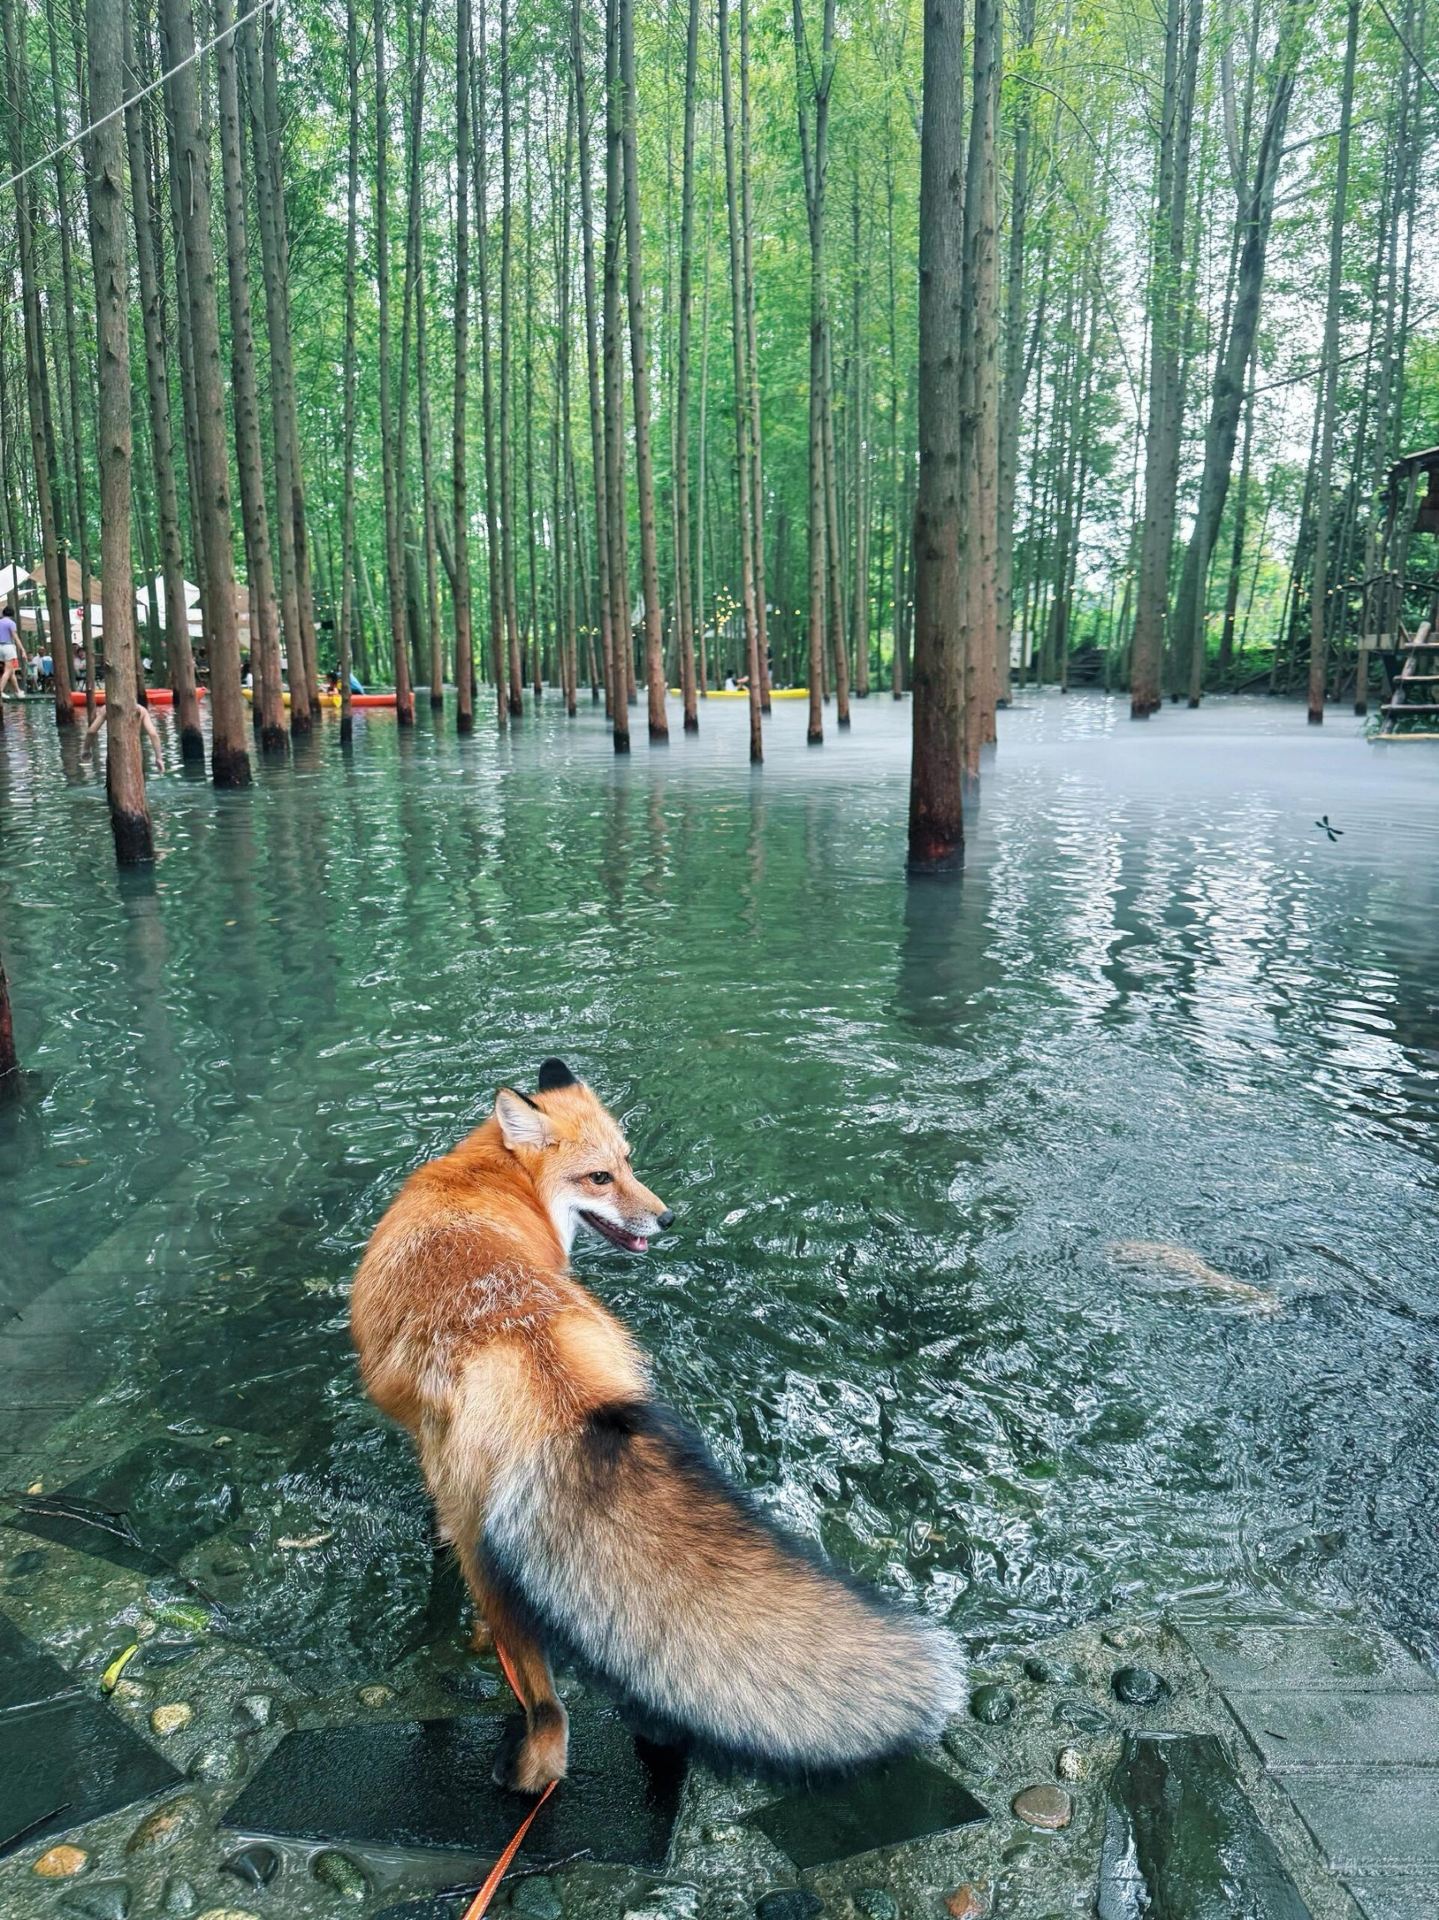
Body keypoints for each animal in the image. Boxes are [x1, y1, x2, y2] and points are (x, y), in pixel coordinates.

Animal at [350, 1058, 960, 1794]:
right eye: (601, 1176)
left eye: (627, 1163)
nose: (668, 1218)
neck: (487, 1178)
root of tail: (541, 1361)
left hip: (489, 1563)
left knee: (547, 1715)